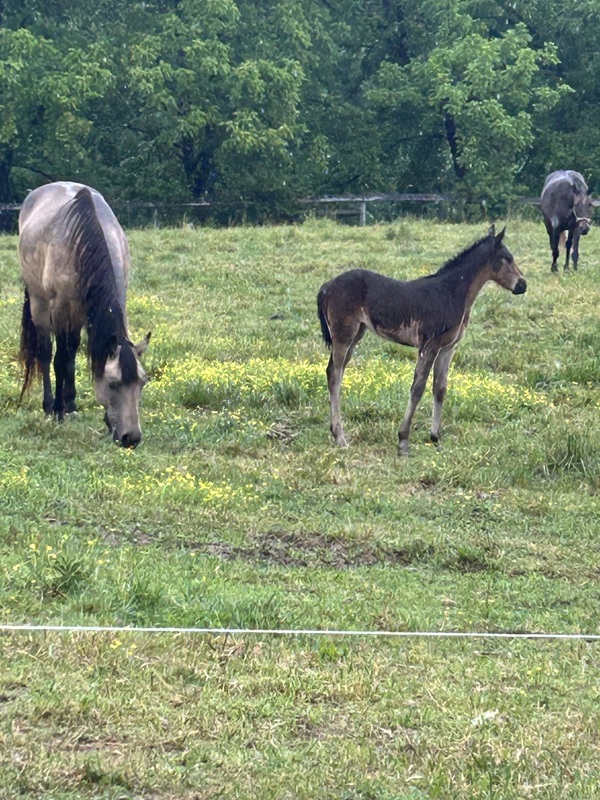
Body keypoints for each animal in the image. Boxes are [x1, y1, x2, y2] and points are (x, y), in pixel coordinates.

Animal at [18, 181, 150, 447]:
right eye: (113, 383)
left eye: (142, 382)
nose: (131, 438)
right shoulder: (60, 307)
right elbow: (60, 359)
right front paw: (58, 412)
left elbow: (74, 355)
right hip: (40, 303)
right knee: (46, 352)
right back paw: (50, 405)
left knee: (71, 349)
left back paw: (70, 402)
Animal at [317, 226, 526, 455]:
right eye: (507, 258)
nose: (522, 285)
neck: (450, 292)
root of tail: (326, 286)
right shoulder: (429, 346)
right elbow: (418, 388)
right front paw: (403, 441)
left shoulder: (448, 348)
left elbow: (440, 388)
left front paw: (435, 438)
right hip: (344, 335)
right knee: (334, 374)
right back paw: (340, 437)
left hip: (356, 336)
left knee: (337, 372)